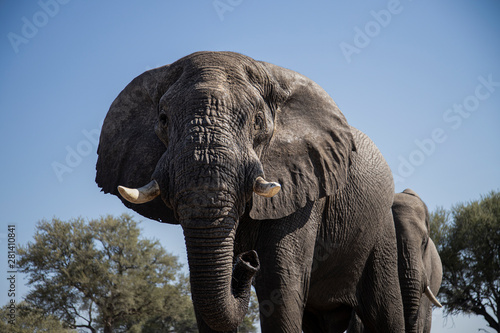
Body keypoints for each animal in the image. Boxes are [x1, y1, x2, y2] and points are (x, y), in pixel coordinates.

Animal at [95, 51, 404, 332]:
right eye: (162, 119)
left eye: (257, 121)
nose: (247, 260)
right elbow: (202, 290)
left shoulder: (305, 185)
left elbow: (279, 282)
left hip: (381, 230)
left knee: (385, 311)